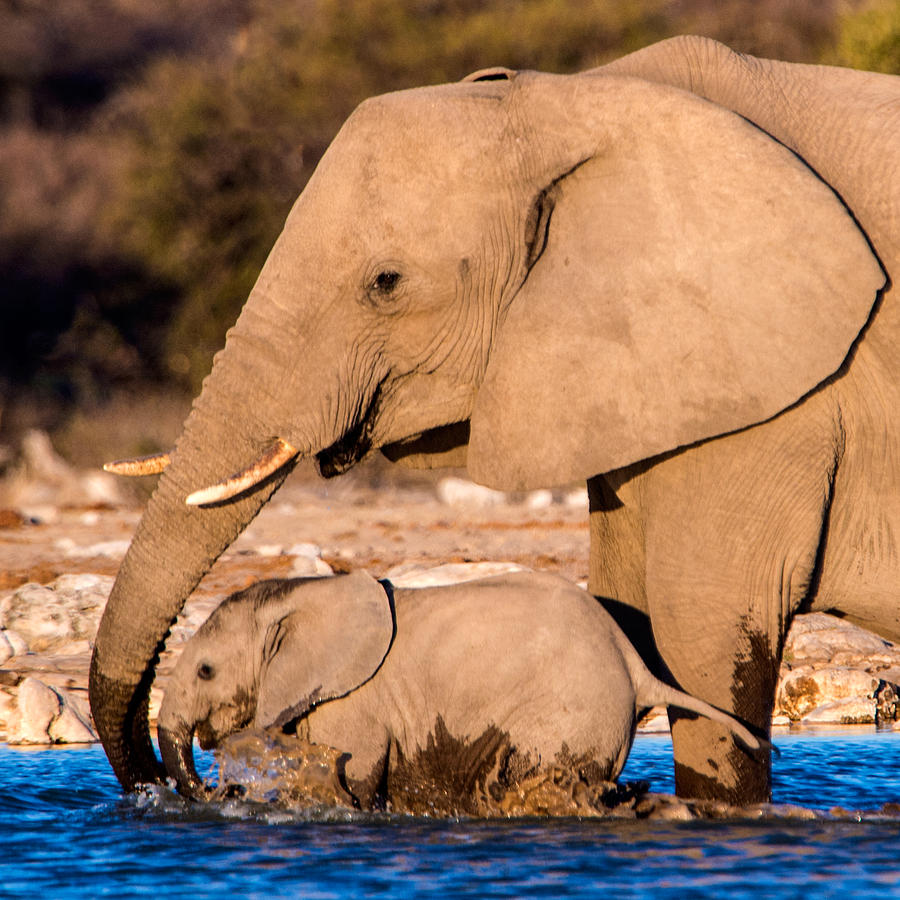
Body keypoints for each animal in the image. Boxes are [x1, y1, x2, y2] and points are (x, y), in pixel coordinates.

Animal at [158, 572, 764, 812]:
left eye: (206, 671)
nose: (219, 789)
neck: (299, 593)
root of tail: (637, 665)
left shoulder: (355, 704)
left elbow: (353, 782)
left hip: (569, 714)